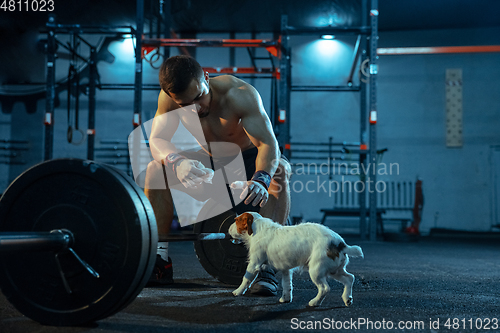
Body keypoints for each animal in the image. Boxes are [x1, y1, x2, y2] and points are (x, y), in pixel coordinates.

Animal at [228, 211, 364, 304]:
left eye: (236, 220)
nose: (228, 229)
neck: (257, 227)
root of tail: (340, 243)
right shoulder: (286, 269)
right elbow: (287, 285)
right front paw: (286, 299)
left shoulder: (254, 264)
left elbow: (246, 279)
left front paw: (237, 291)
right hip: (335, 270)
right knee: (350, 278)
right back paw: (347, 298)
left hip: (316, 270)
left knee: (325, 288)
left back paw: (315, 302)